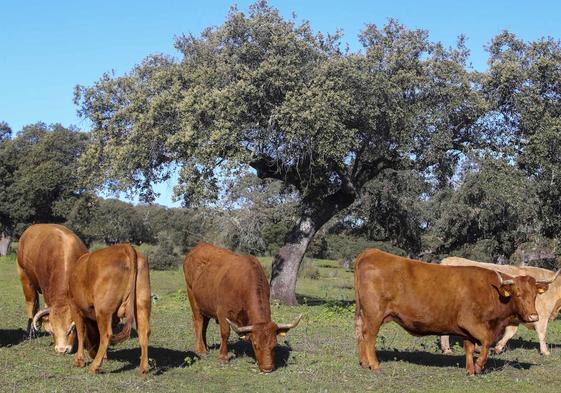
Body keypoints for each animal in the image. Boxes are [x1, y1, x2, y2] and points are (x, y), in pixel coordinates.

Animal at [15, 224, 86, 352]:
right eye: (53, 331)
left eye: (72, 329)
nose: (62, 349)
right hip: (24, 277)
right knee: (30, 303)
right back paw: (31, 332)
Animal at [68, 243, 151, 376]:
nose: (93, 354)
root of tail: (125, 247)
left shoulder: (74, 306)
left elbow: (80, 333)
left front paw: (79, 360)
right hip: (142, 303)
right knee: (144, 332)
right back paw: (143, 368)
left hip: (103, 310)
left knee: (106, 334)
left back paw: (94, 366)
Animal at [183, 240, 302, 372]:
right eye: (255, 345)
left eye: (274, 345)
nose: (267, 368)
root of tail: (199, 247)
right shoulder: (222, 312)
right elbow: (225, 333)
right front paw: (223, 357)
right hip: (191, 295)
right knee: (198, 322)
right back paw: (201, 350)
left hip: (205, 304)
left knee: (204, 324)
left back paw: (205, 346)